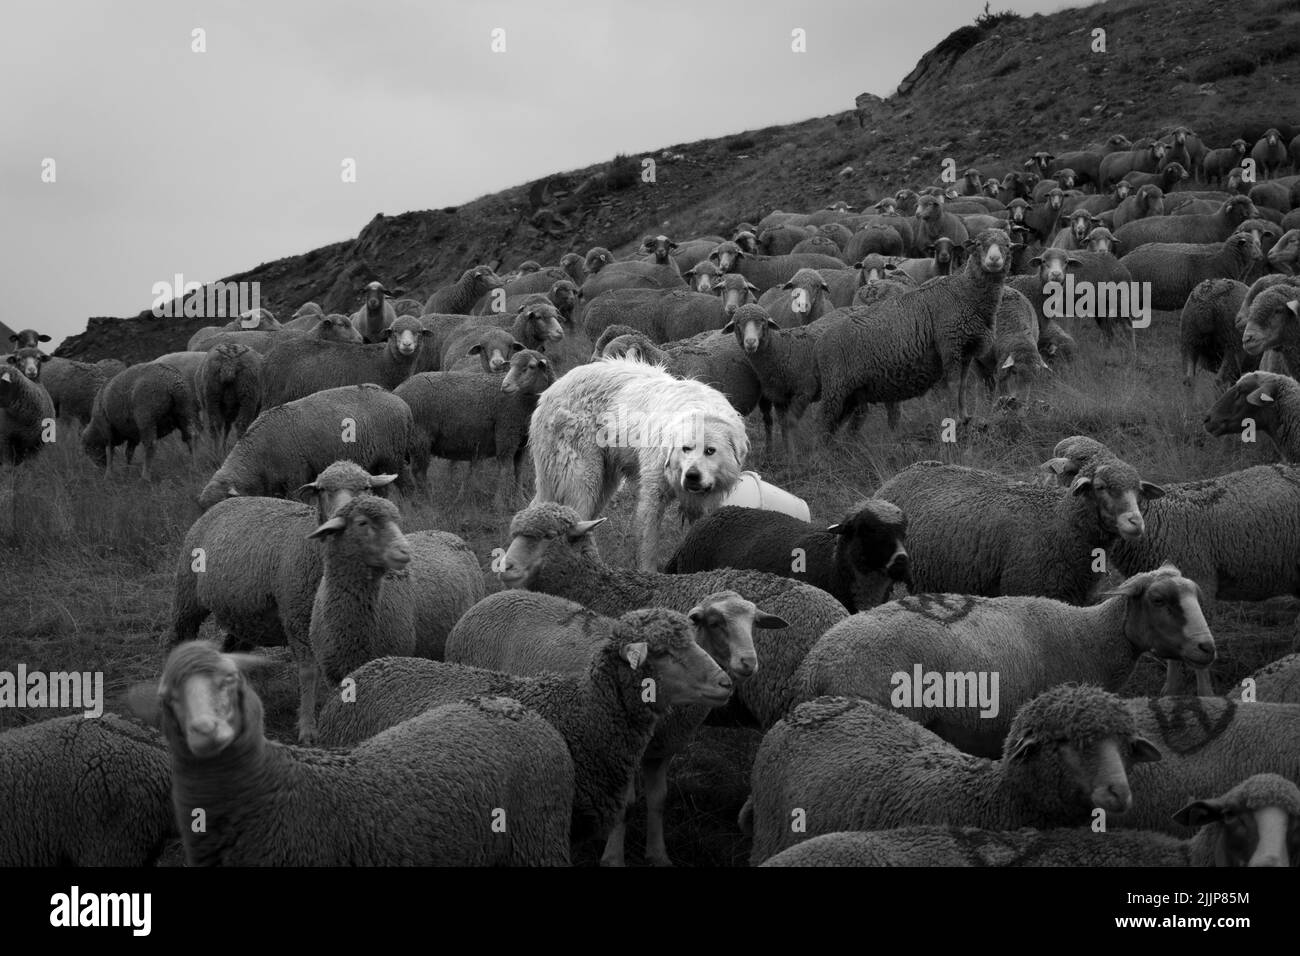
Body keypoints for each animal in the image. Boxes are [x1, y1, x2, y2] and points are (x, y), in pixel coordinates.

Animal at [170, 460, 400, 742]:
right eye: (322, 490)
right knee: (179, 636)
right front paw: (307, 728)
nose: (340, 516)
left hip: (248, 617)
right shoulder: (297, 618)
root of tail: (223, 504)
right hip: (187, 596)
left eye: (366, 487)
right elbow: (308, 673)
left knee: (230, 649)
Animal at [197, 384, 414, 509]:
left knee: (406, 483)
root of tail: (400, 401)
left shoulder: (295, 477)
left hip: (393, 455)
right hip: (379, 461)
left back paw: (412, 504)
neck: (256, 458)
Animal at [258, 315, 432, 408]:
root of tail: (267, 358)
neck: (384, 361)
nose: (407, 345)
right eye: (394, 332)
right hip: (273, 397)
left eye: (419, 332)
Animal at [396, 349, 554, 504]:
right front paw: (498, 502)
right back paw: (427, 501)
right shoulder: (506, 434)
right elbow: (505, 468)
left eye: (531, 367)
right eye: (510, 366)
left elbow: (518, 470)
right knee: (418, 473)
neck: (522, 401)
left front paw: (519, 498)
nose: (505, 386)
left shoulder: (522, 442)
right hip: (420, 439)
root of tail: (396, 392)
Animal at [814, 228, 1011, 432]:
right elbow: (954, 384)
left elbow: (962, 386)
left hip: (853, 392)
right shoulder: (950, 346)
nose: (994, 259)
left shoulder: (966, 351)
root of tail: (820, 342)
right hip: (837, 389)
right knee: (823, 422)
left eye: (1007, 245)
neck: (964, 293)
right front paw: (955, 419)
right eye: (979, 244)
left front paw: (965, 416)